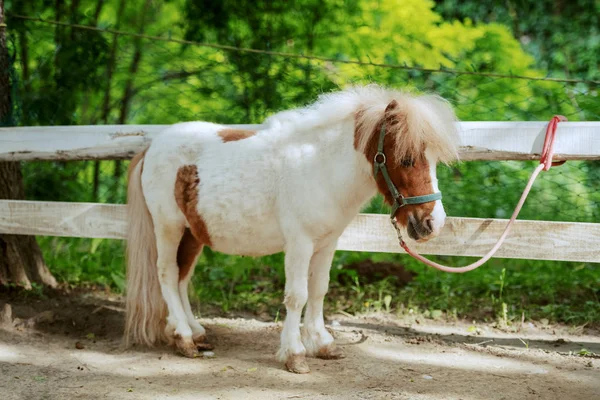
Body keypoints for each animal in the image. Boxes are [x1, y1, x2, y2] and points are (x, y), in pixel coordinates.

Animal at [124, 83, 458, 372]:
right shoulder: (300, 244)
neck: (320, 167)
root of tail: (151, 147)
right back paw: (183, 338)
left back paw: (194, 331)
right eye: (407, 158)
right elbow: (297, 295)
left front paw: (322, 345)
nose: (432, 223)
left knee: (182, 277)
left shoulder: (327, 243)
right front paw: (295, 354)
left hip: (193, 233)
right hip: (168, 227)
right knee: (167, 274)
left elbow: (319, 289)